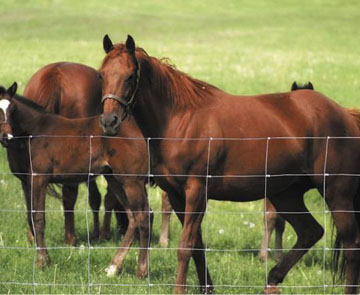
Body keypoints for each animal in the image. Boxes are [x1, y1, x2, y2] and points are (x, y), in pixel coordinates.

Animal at [0, 84, 151, 278]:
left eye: (12, 109)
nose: (6, 137)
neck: (32, 134)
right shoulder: (25, 182)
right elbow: (29, 216)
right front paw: (42, 257)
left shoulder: (39, 178)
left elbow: (38, 218)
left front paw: (42, 262)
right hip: (116, 180)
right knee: (133, 217)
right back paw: (113, 267)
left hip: (132, 181)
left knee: (144, 216)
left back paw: (142, 271)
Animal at [100, 35, 360, 295]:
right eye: (102, 75)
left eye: (130, 76)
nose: (109, 121)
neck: (180, 120)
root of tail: (345, 114)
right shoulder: (176, 195)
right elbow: (197, 245)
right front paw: (207, 288)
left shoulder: (197, 191)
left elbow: (185, 246)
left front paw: (179, 290)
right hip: (286, 195)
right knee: (310, 232)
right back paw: (272, 279)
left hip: (336, 193)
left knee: (350, 246)